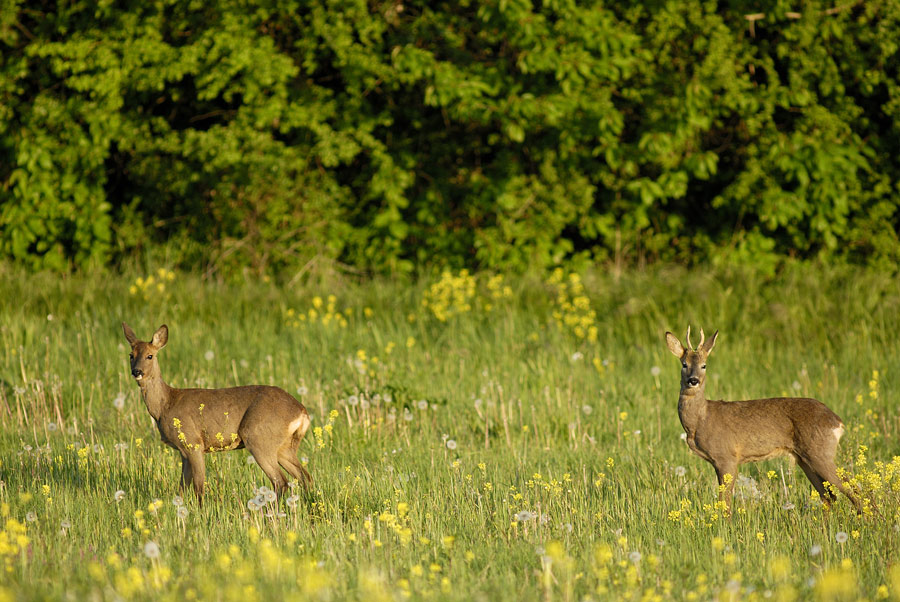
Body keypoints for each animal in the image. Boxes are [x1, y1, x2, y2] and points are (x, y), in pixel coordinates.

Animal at [122, 324, 312, 502]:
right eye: (131, 355)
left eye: (150, 355)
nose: (137, 372)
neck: (166, 404)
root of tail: (302, 412)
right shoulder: (183, 451)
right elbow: (182, 489)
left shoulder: (193, 443)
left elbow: (199, 488)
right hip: (284, 447)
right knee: (305, 477)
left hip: (259, 438)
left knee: (281, 481)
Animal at [664, 326, 860, 512]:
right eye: (684, 364)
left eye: (704, 365)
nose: (693, 380)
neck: (700, 420)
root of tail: (837, 421)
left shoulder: (727, 456)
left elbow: (725, 504)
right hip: (805, 458)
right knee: (828, 497)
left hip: (820, 452)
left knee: (854, 491)